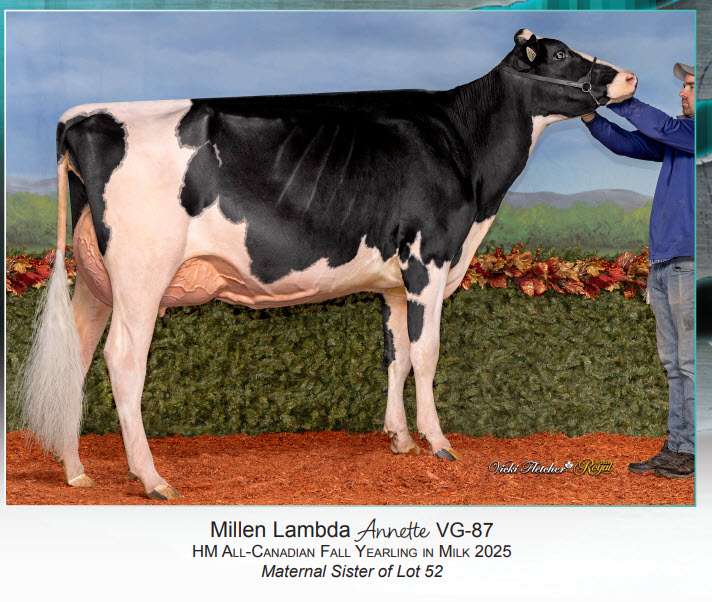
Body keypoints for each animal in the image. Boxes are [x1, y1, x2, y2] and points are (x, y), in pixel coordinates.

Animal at [20, 29, 637, 500]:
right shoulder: (430, 260)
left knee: (77, 356)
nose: (629, 77)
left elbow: (396, 355)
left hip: (96, 281)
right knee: (123, 361)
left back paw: (76, 471)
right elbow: (427, 354)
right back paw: (151, 478)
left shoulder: (394, 283)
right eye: (562, 54)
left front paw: (399, 439)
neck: (465, 148)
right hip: (141, 273)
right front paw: (437, 442)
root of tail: (88, 116)